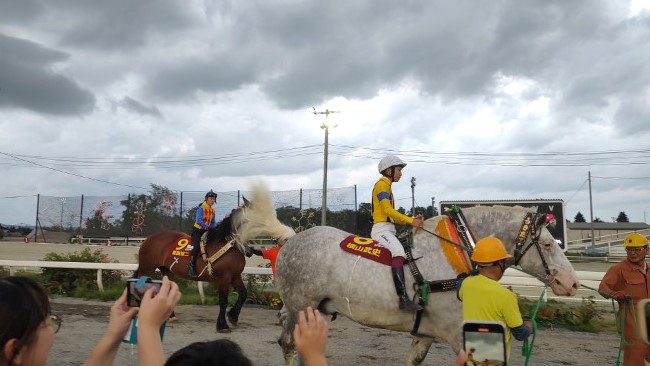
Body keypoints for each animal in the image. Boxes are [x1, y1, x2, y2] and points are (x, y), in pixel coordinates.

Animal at [134, 204, 248, 334]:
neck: (227, 244)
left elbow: (243, 294)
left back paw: (171, 316)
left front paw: (233, 316)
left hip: (167, 270)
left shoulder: (235, 276)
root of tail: (148, 239)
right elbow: (223, 301)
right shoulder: (224, 278)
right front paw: (222, 325)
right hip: (147, 268)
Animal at [272, 206, 576, 366]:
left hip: (317, 311)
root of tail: (291, 240)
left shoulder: (427, 333)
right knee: (288, 344)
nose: (571, 282)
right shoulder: (456, 332)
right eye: (547, 244)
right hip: (300, 306)